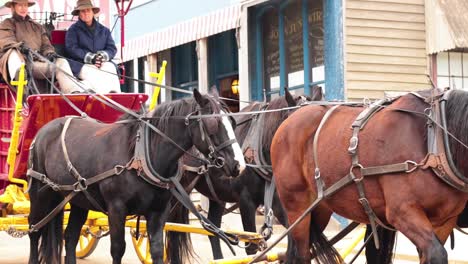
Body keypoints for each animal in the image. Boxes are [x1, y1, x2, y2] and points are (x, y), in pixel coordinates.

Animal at [26, 89, 245, 264]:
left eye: (232, 121)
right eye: (212, 124)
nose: (238, 165)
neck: (142, 155)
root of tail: (44, 131)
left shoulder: (159, 210)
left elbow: (156, 249)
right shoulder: (116, 209)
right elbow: (118, 249)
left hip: (79, 199)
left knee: (70, 237)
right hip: (40, 194)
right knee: (34, 229)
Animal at [272, 89, 468, 262]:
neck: (433, 141)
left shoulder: (444, 222)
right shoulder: (402, 212)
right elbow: (437, 253)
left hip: (319, 208)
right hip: (297, 207)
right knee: (301, 254)